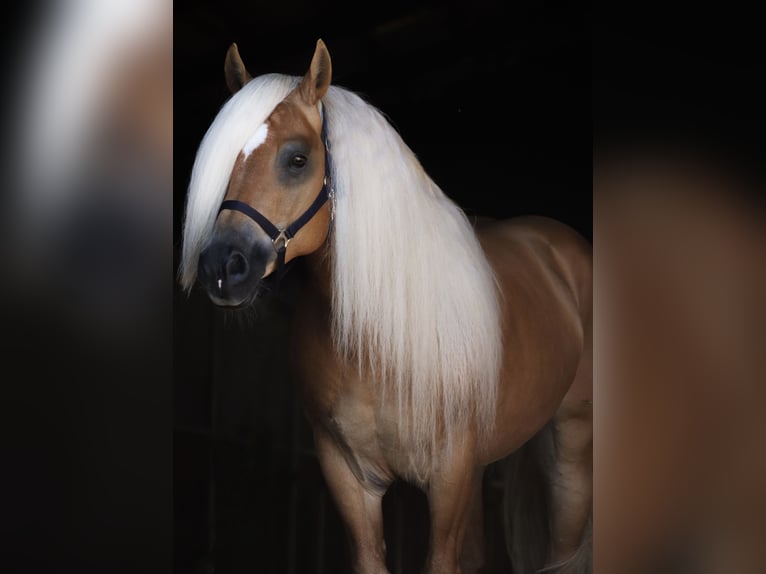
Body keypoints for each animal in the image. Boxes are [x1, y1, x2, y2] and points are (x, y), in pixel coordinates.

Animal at [180, 39, 592, 574]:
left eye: (297, 159)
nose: (222, 267)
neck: (377, 346)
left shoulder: (450, 477)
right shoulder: (348, 476)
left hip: (570, 453)